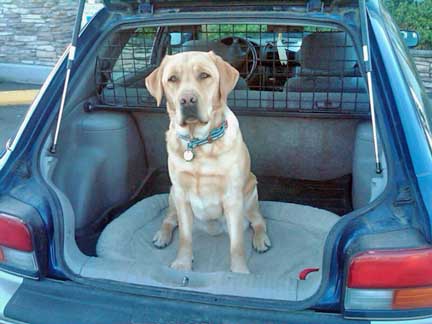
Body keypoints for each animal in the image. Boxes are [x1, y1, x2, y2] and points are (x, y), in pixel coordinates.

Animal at [147, 51, 272, 274]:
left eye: (204, 75)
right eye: (172, 79)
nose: (187, 100)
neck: (199, 142)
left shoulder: (233, 198)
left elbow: (237, 244)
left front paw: (240, 273)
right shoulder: (181, 195)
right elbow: (185, 238)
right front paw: (182, 264)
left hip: (250, 197)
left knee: (258, 222)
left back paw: (261, 240)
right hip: (172, 196)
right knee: (169, 219)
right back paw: (162, 235)